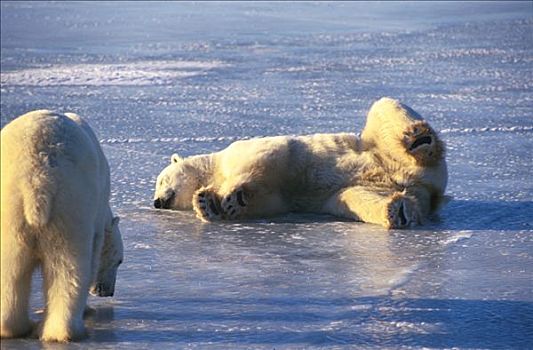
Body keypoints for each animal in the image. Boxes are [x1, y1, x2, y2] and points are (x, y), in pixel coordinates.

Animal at [1, 110, 123, 342]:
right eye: (119, 261)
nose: (108, 291)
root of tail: (36, 179)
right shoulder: (95, 218)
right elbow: (93, 258)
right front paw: (88, 308)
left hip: (11, 209)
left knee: (9, 267)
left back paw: (13, 327)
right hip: (71, 205)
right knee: (68, 266)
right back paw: (64, 331)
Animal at [155, 98, 448, 230]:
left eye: (160, 180)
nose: (157, 202)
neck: (215, 167)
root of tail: (428, 189)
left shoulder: (248, 150)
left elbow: (264, 159)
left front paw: (230, 197)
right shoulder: (279, 195)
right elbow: (269, 200)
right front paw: (208, 203)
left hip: (383, 151)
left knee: (384, 107)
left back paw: (420, 139)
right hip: (364, 189)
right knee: (359, 199)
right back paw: (398, 211)